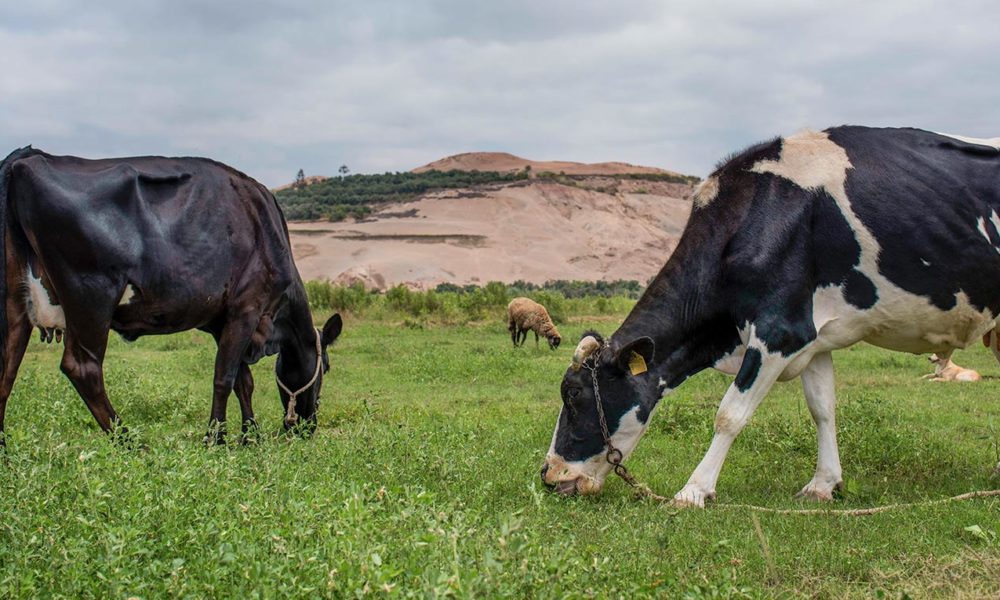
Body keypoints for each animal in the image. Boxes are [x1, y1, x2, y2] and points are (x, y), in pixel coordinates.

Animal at [0, 146, 344, 446]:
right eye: (326, 368)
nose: (306, 427)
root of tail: (28, 157)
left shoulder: (222, 320)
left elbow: (242, 381)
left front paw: (250, 435)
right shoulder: (248, 307)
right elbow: (225, 377)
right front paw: (216, 438)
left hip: (15, 301)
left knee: (6, 369)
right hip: (91, 293)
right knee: (83, 368)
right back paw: (130, 442)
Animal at [540, 127, 1000, 506]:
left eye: (574, 395)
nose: (548, 474)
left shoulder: (780, 331)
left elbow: (729, 414)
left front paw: (693, 491)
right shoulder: (814, 337)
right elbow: (822, 408)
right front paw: (823, 484)